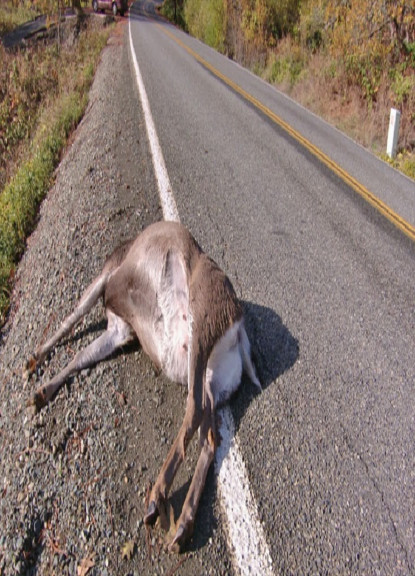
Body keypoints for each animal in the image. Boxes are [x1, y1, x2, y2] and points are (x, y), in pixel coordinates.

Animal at [24, 219, 260, 548]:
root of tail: (239, 333)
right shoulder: (118, 331)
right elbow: (81, 357)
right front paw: (41, 391)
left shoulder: (106, 283)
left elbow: (71, 317)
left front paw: (34, 362)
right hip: (209, 381)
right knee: (210, 437)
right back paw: (182, 526)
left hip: (201, 325)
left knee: (193, 411)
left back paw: (157, 498)